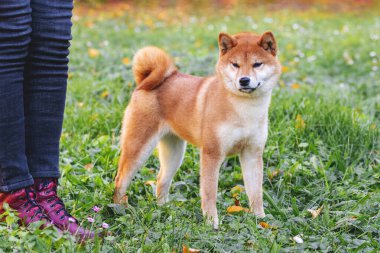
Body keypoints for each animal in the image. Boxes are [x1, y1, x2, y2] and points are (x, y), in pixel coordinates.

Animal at [114, 31, 280, 229]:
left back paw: (164, 209)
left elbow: (256, 193)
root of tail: (145, 81)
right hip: (138, 149)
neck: (244, 110)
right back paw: (118, 209)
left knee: (161, 180)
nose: (244, 80)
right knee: (120, 180)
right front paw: (211, 223)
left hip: (174, 153)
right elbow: (209, 193)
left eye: (257, 64)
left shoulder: (252, 153)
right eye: (235, 64)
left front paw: (260, 220)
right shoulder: (212, 153)